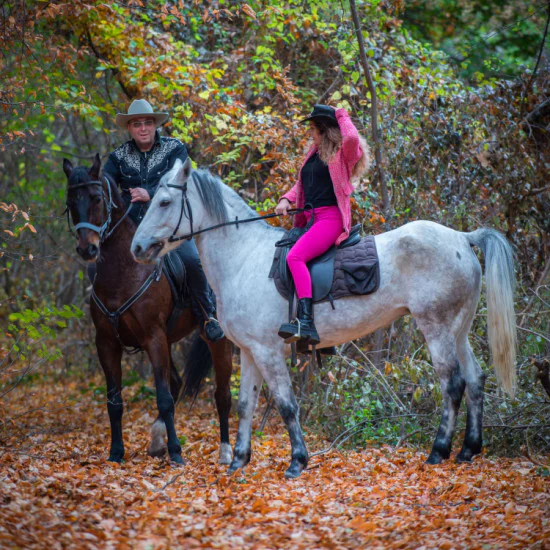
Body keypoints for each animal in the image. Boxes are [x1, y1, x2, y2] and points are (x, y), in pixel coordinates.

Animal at [63, 154, 234, 466]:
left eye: (96, 198)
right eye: (71, 201)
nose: (87, 249)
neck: (123, 273)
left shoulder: (153, 338)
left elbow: (164, 399)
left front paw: (176, 452)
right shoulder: (107, 343)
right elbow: (114, 402)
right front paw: (116, 452)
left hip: (216, 340)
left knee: (222, 395)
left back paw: (226, 451)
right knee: (176, 383)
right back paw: (157, 440)